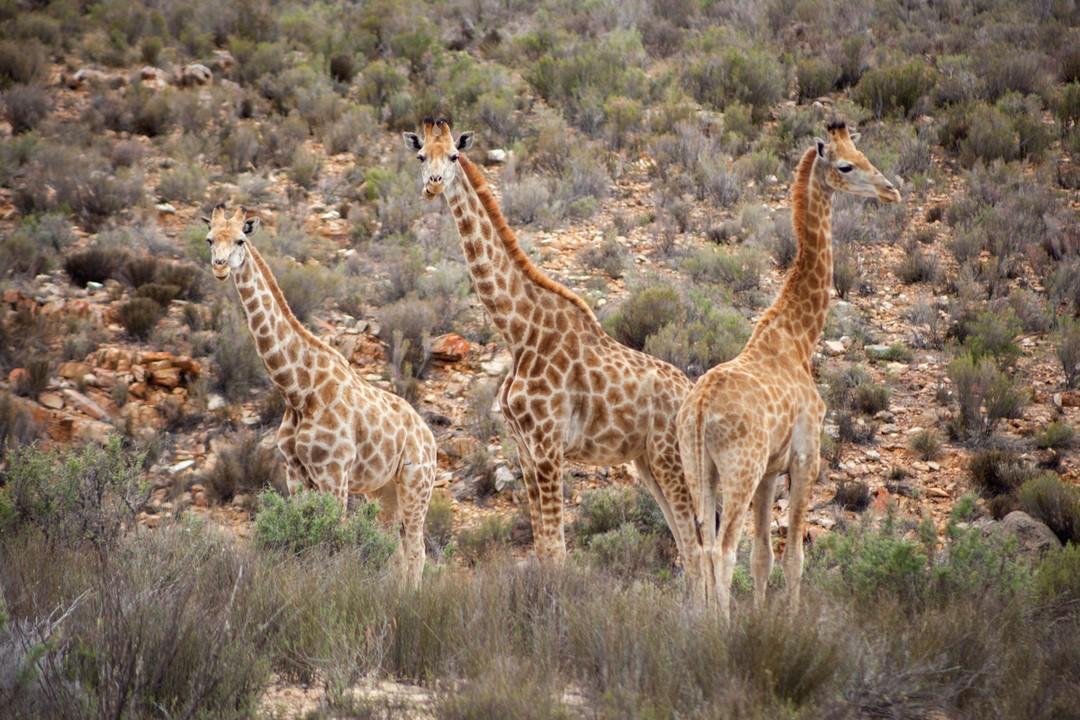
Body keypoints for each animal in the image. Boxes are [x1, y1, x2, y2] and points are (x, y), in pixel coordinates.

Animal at [204, 205, 436, 587]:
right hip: (384, 489)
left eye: (241, 239)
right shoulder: (296, 476)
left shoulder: (334, 474)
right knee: (398, 550)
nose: (220, 267)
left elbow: (333, 544)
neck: (297, 390)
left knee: (417, 550)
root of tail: (429, 436)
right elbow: (305, 544)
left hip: (417, 483)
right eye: (210, 239)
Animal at [403, 117, 699, 578]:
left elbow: (557, 550)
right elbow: (544, 549)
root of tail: (693, 395)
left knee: (703, 544)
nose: (433, 186)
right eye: (420, 156)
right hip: (647, 461)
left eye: (453, 155)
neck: (519, 332)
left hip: (672, 459)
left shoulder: (547, 444)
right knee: (689, 544)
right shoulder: (526, 450)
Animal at [678, 122, 898, 621]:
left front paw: (763, 619)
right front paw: (791, 621)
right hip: (738, 468)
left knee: (702, 549)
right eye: (846, 165)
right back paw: (721, 626)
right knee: (723, 549)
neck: (799, 338)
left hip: (699, 469)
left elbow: (763, 556)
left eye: (864, 153)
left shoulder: (769, 472)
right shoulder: (804, 455)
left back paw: (702, 623)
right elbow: (795, 554)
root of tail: (698, 411)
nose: (890, 191)